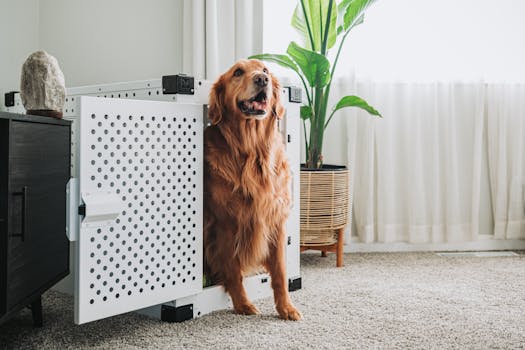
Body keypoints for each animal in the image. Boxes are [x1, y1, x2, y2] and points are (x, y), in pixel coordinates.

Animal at [204, 59, 300, 320]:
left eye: (265, 70)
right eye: (237, 72)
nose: (262, 80)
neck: (252, 149)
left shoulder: (275, 221)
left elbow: (280, 272)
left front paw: (286, 308)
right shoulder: (226, 223)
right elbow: (233, 270)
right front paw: (242, 304)